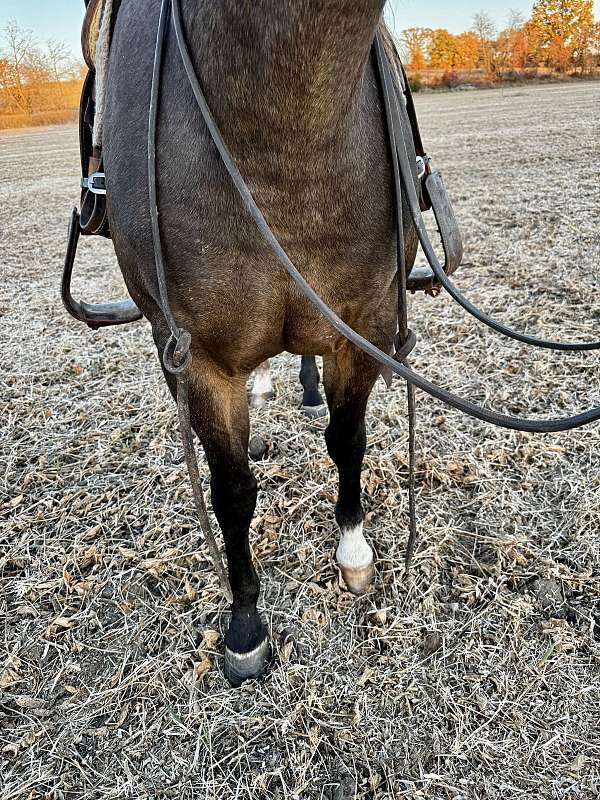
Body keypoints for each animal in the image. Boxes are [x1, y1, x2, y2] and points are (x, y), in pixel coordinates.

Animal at [64, 0, 600, 688]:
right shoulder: (197, 358)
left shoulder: (364, 325)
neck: (284, 124)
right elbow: (231, 489)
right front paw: (245, 624)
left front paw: (353, 554)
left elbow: (348, 441)